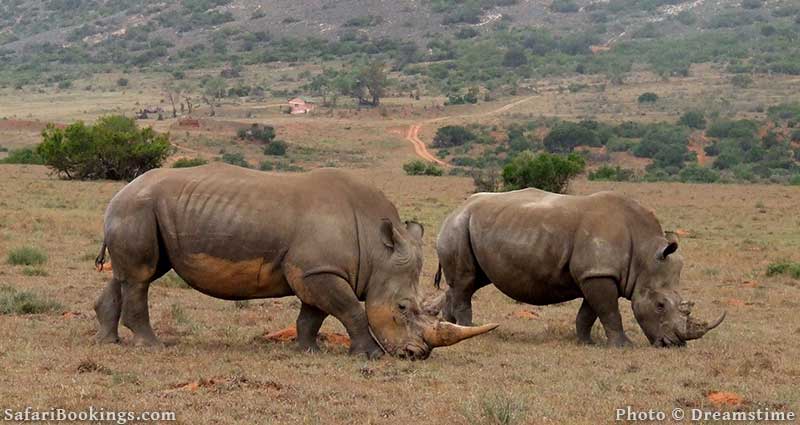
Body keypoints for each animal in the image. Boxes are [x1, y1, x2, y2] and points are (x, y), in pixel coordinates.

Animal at [92, 163, 494, 358]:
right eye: (403, 308)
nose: (417, 355)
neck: (376, 247)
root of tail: (121, 191)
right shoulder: (319, 271)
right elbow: (352, 310)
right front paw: (368, 356)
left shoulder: (318, 270)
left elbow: (312, 316)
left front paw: (309, 350)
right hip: (138, 208)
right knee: (141, 277)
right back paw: (152, 346)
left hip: (141, 211)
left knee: (131, 275)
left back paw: (108, 342)